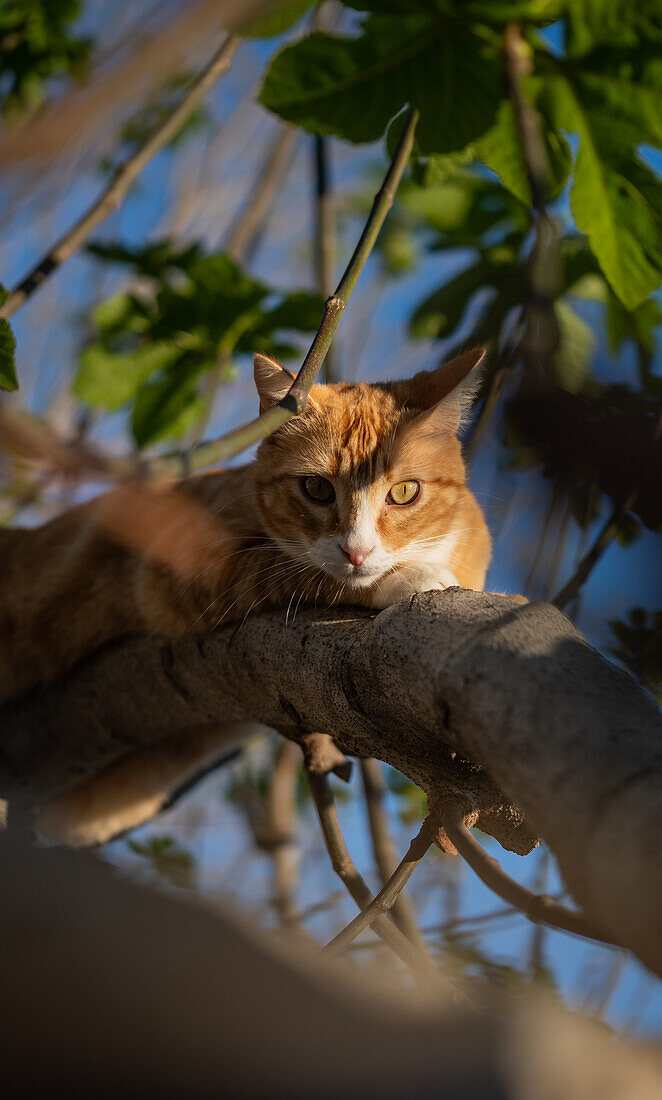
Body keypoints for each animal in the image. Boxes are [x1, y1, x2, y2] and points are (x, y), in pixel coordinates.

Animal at [1, 347, 490, 844]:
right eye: (317, 488)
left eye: (405, 491)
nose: (357, 551)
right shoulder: (180, 567)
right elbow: (306, 573)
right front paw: (412, 577)